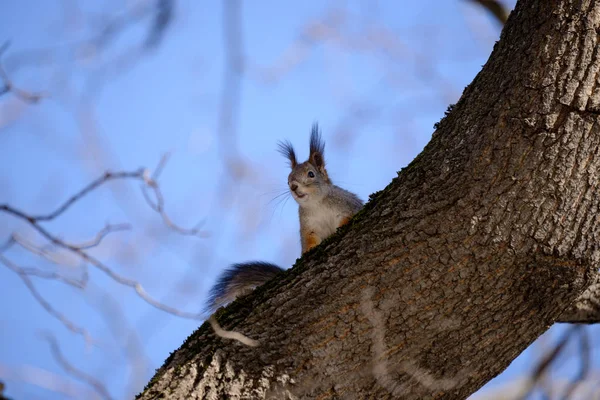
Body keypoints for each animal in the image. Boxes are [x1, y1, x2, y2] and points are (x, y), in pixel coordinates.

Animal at [206, 123, 364, 314]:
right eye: (288, 179)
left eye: (311, 174)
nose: (293, 186)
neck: (316, 204)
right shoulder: (308, 225)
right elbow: (309, 239)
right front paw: (309, 250)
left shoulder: (347, 206)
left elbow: (348, 217)